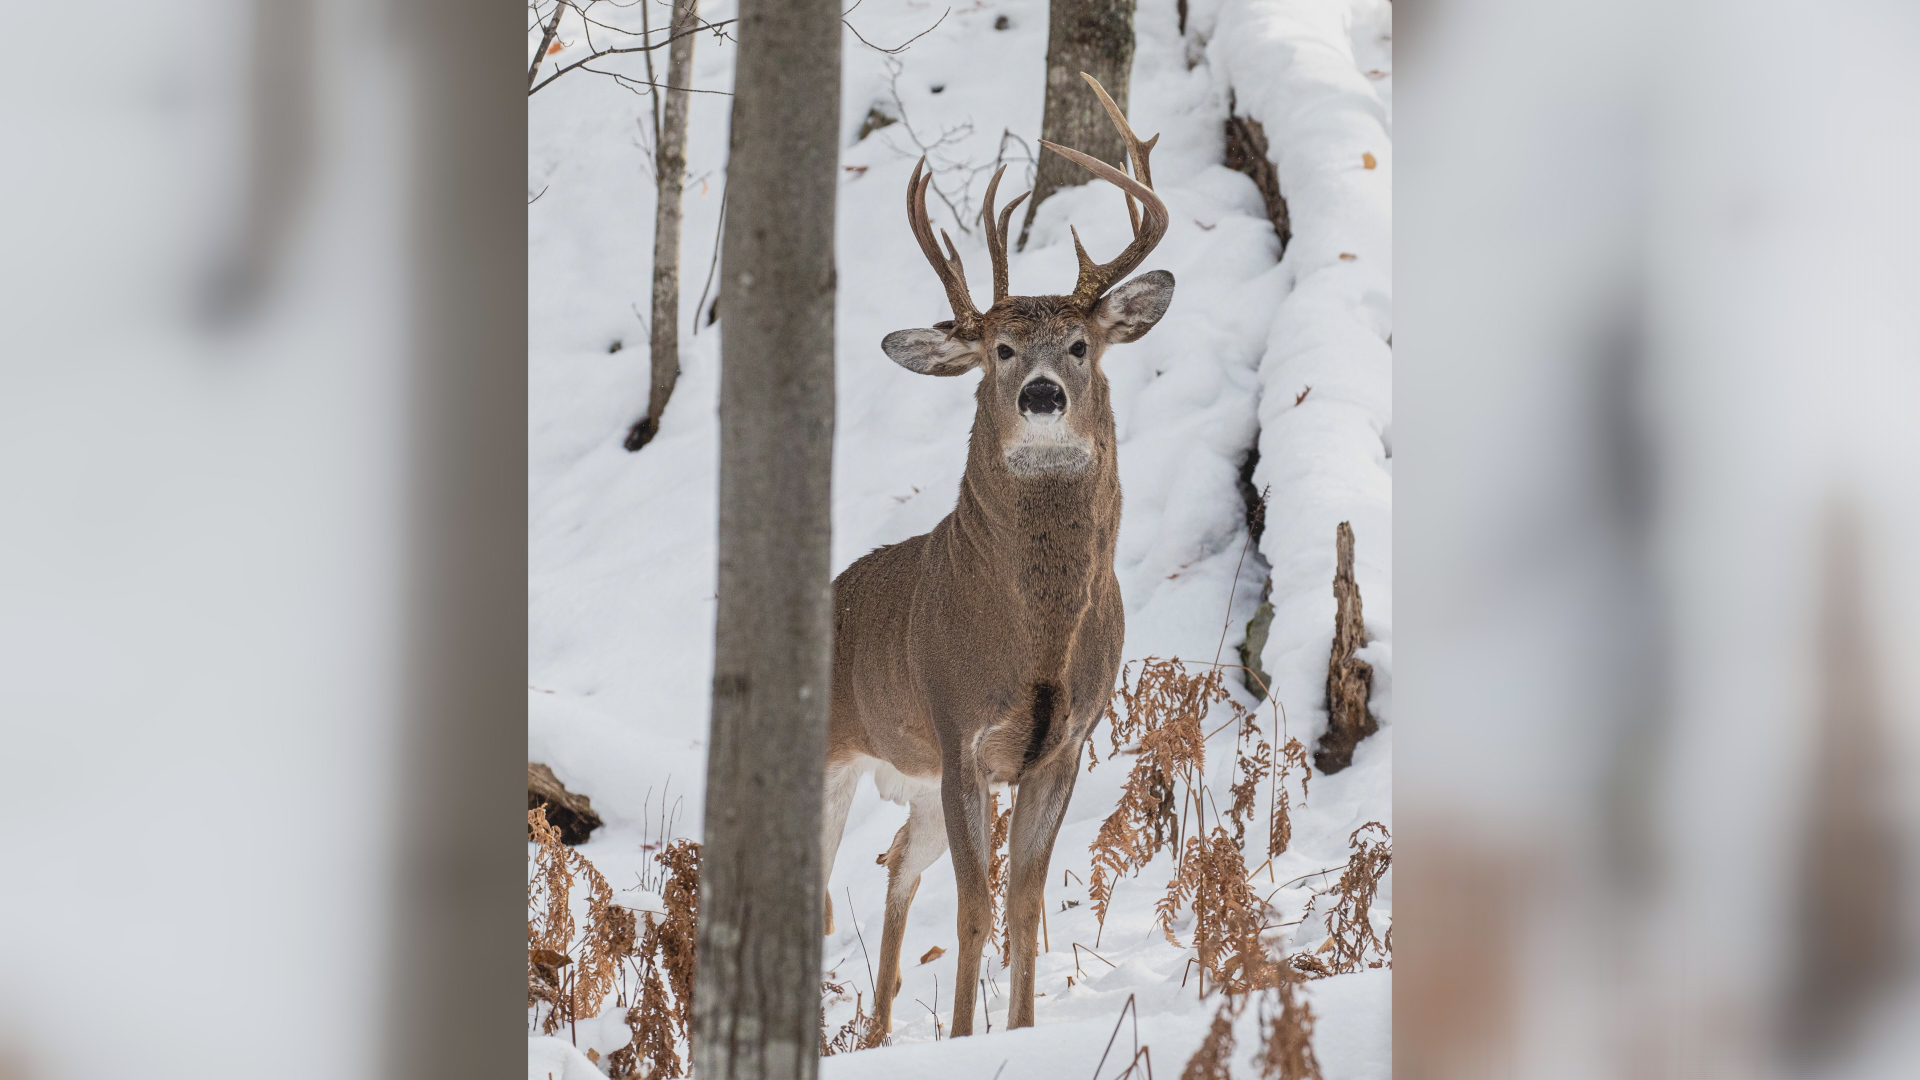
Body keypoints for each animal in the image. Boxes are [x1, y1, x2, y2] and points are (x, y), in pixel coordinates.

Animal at [814, 71, 1167, 1037]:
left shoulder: (1064, 744)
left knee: (897, 862)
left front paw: (1019, 1032)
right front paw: (970, 1041)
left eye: (1080, 344)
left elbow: (1022, 903)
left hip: (915, 784)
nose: (1042, 395)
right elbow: (975, 908)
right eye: (1000, 350)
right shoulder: (957, 730)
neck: (1034, 639)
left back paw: (879, 1033)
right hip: (834, 756)